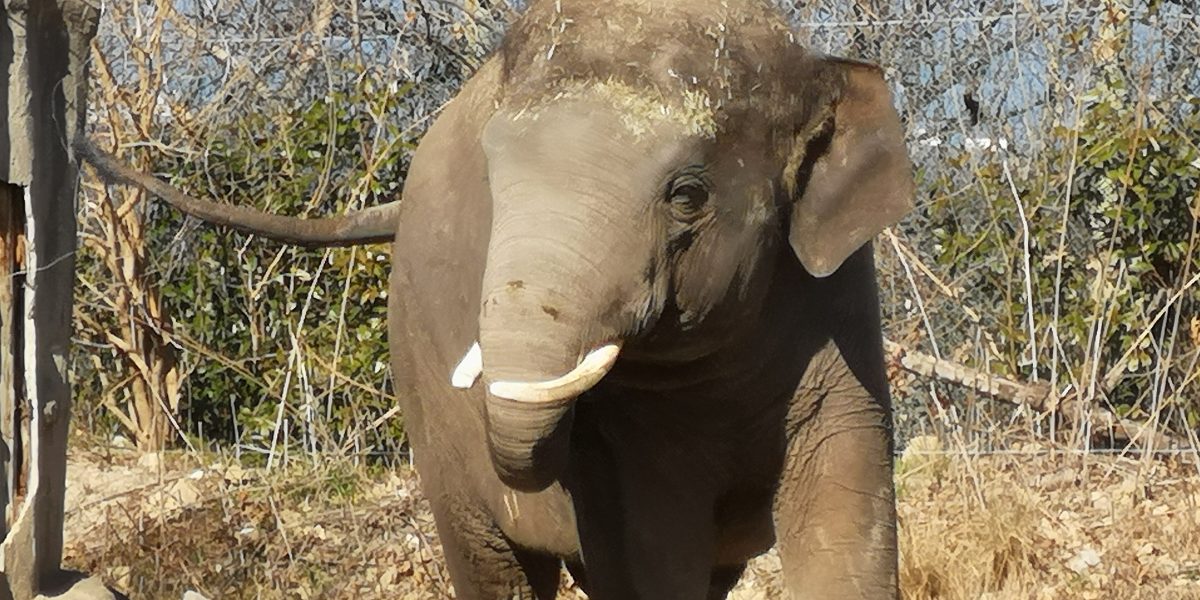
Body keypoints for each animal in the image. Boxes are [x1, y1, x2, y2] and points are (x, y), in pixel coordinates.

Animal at [75, 0, 912, 595]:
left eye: (687, 195)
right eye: (492, 183)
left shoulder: (836, 320)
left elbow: (847, 530)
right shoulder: (626, 444)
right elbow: (650, 549)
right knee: (494, 563)